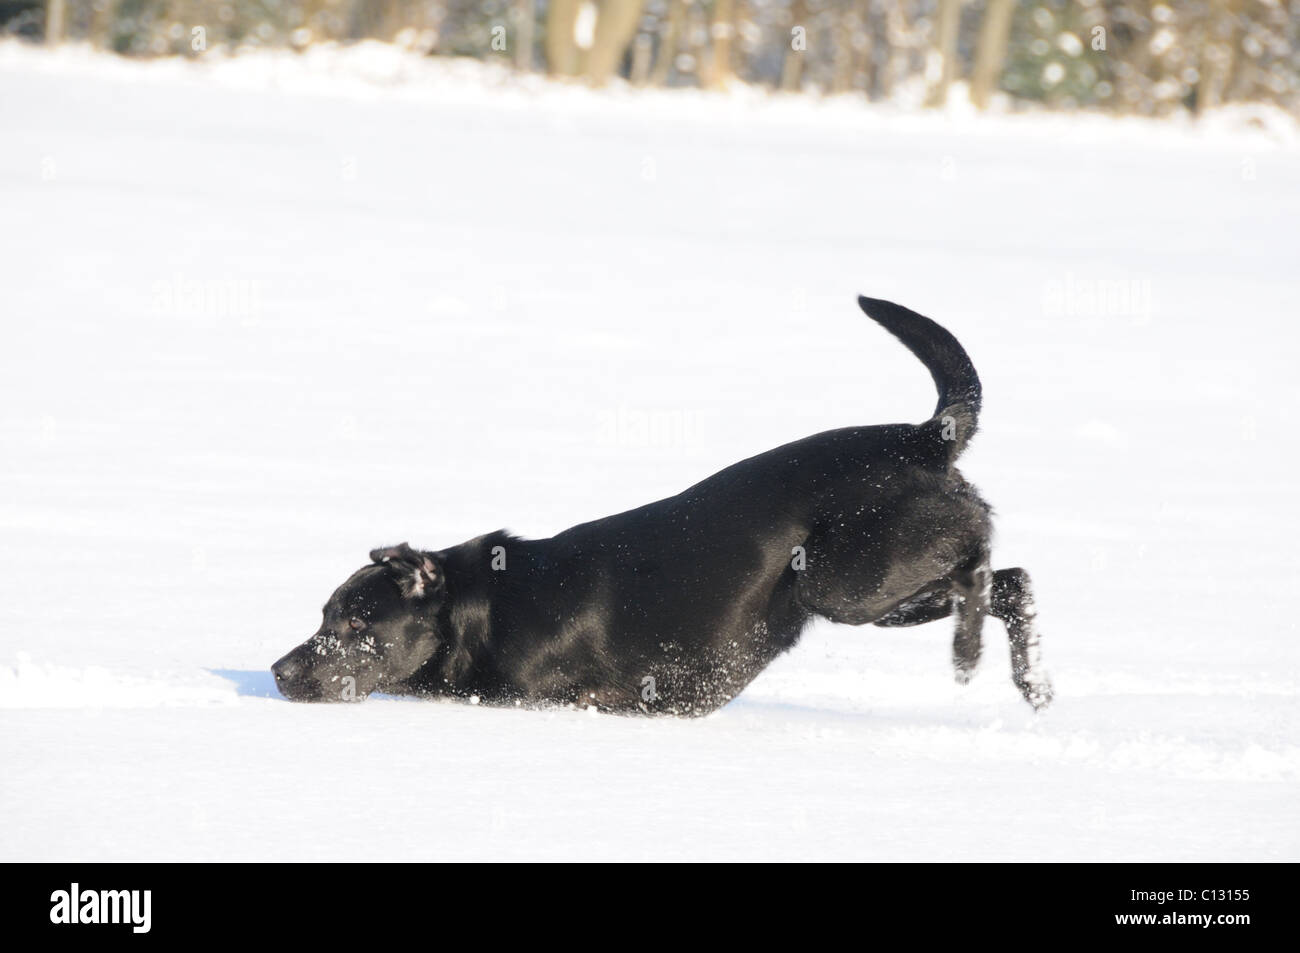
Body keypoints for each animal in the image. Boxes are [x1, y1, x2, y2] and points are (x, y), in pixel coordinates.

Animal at [274, 297, 1055, 712]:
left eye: (353, 623)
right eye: (323, 617)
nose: (280, 670)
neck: (482, 611)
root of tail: (924, 436)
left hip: (848, 581)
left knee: (985, 571)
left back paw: (971, 655)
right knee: (1013, 580)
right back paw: (1035, 683)